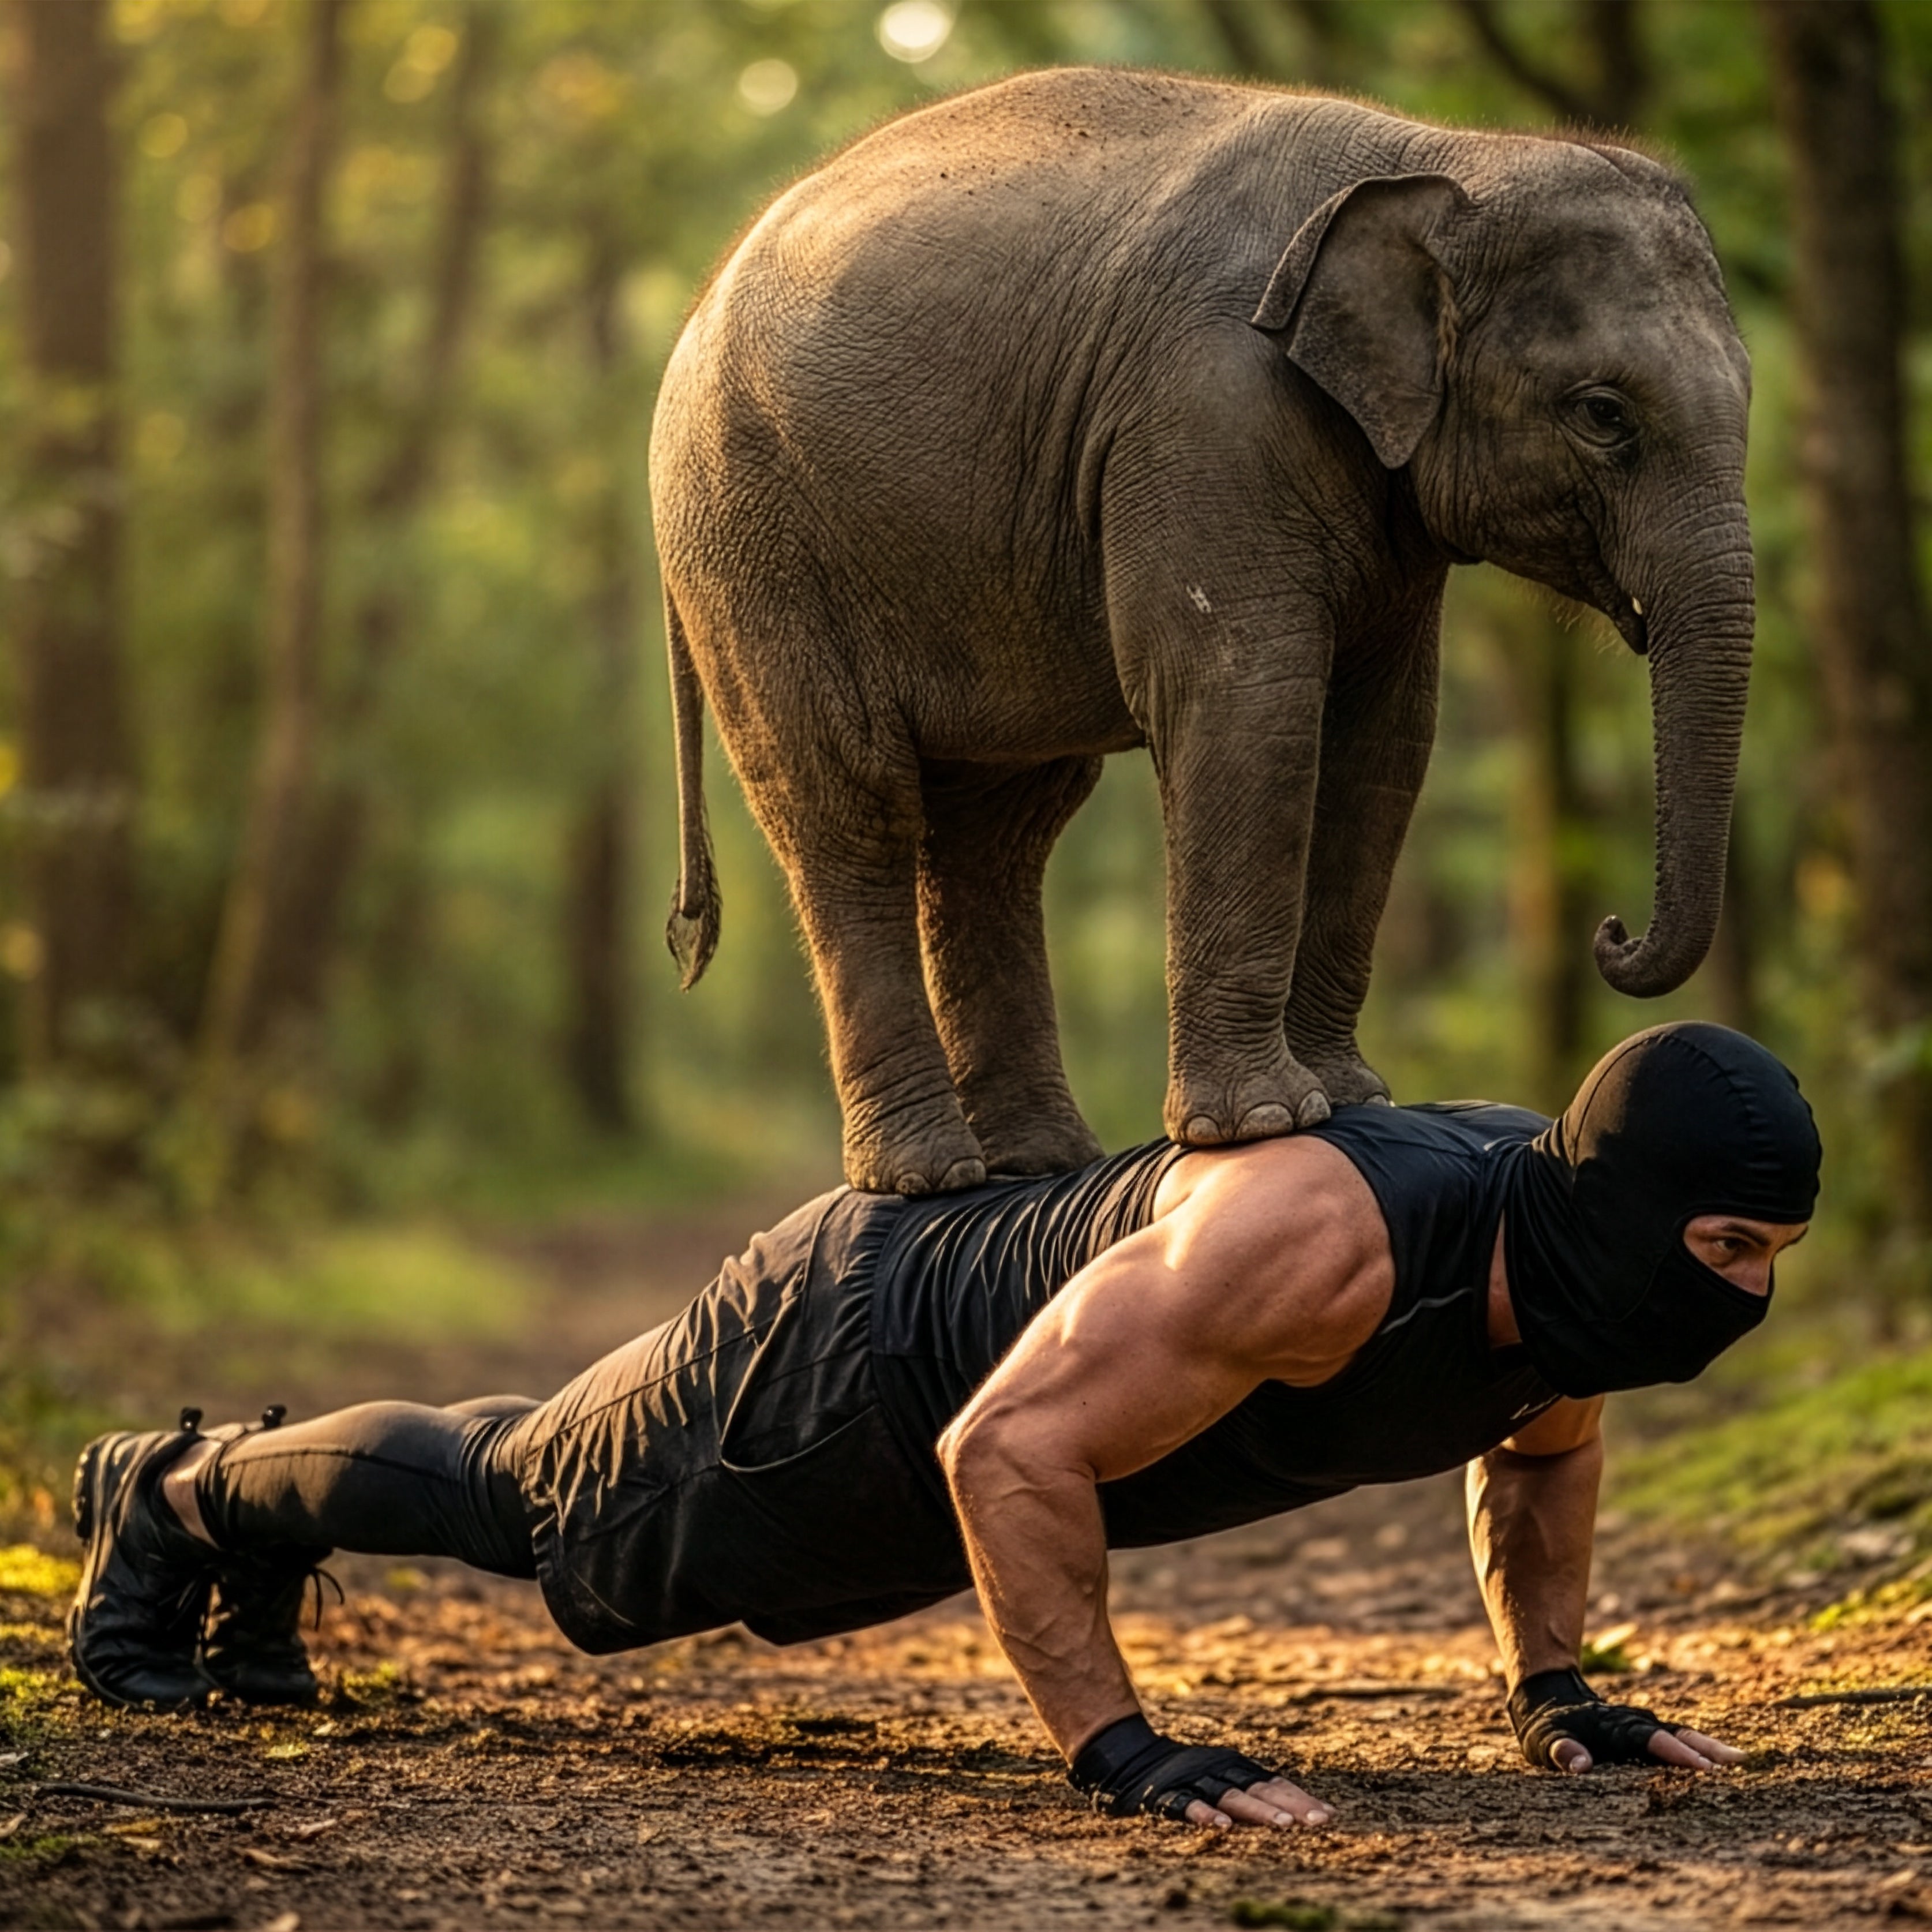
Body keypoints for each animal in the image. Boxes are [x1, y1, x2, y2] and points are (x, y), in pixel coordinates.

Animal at [651, 67, 1754, 1196]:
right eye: (1602, 413)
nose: (1611, 932)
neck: (1444, 154)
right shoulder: (1205, 413)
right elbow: (1245, 702)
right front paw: (1260, 1125)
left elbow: (1384, 741)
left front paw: (1350, 1098)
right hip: (753, 550)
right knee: (851, 802)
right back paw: (930, 1177)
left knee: (997, 828)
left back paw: (1039, 1160)